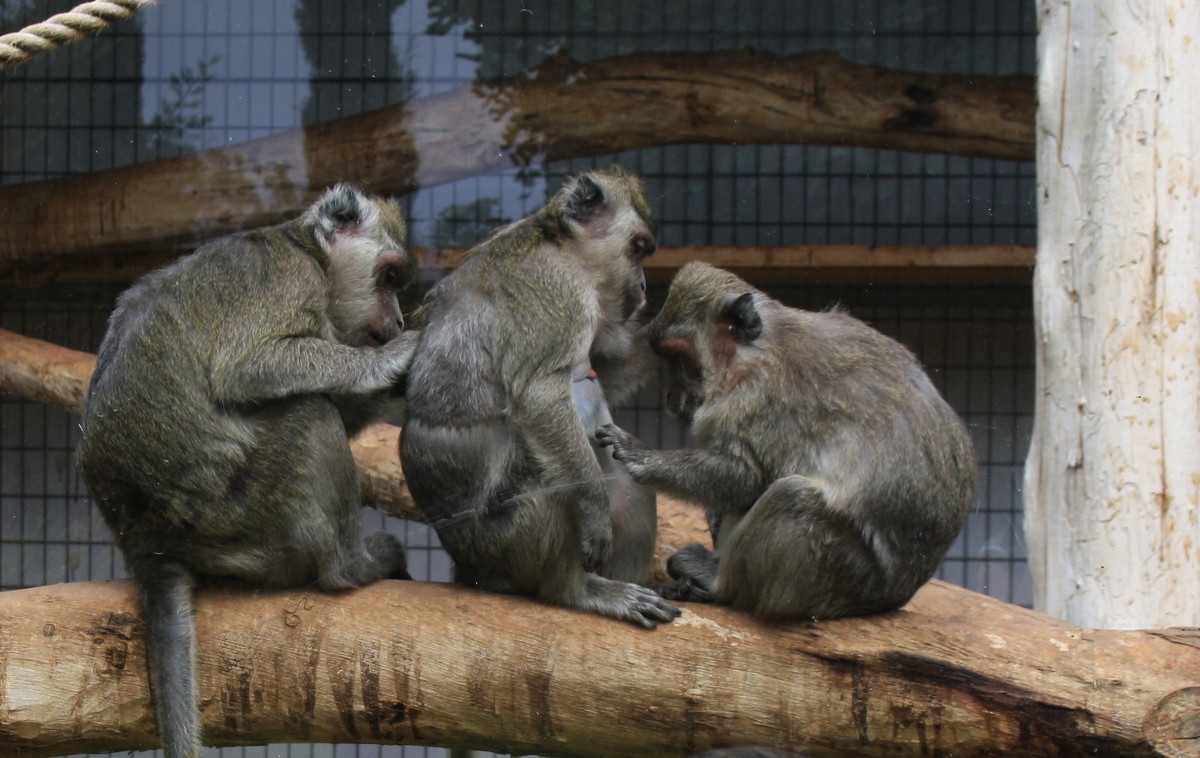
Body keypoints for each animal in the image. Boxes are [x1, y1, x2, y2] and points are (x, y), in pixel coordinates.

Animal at [77, 183, 420, 758]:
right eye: (390, 278)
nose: (395, 321)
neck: (307, 248)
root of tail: (143, 541)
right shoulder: (292, 280)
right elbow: (251, 366)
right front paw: (398, 356)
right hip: (243, 519)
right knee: (308, 413)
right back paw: (349, 568)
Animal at [403, 169, 681, 628]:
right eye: (638, 248)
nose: (643, 286)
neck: (561, 244)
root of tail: (473, 569)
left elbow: (606, 372)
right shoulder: (556, 289)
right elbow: (540, 394)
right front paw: (593, 507)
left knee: (630, 484)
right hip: (507, 541)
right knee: (555, 481)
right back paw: (576, 590)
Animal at [595, 263, 979, 618]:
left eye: (679, 358)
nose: (670, 397)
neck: (757, 351)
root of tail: (889, 599)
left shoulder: (756, 399)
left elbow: (745, 478)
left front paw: (642, 455)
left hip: (836, 575)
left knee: (793, 498)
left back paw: (717, 582)